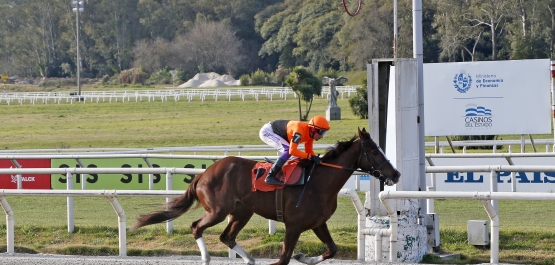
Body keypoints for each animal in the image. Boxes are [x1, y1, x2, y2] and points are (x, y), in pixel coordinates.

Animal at [131, 127, 400, 262]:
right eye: (374, 151)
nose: (395, 174)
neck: (319, 183)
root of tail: (204, 173)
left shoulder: (318, 223)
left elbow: (331, 250)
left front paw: (304, 257)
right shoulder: (293, 226)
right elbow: (283, 258)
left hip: (242, 212)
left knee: (227, 237)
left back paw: (249, 260)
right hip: (219, 210)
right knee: (197, 227)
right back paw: (206, 258)